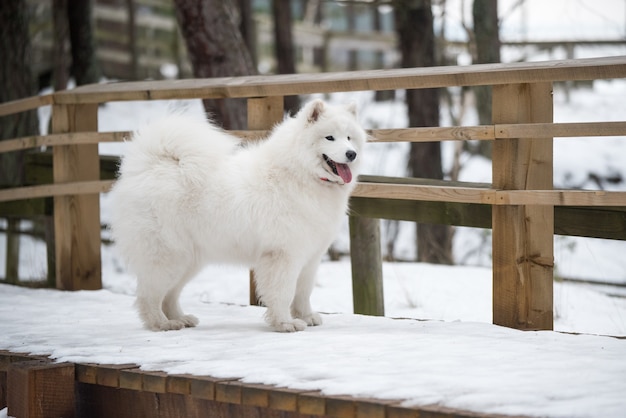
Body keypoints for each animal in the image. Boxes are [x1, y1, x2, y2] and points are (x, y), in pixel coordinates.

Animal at [109, 99, 364, 332]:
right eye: (329, 138)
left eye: (349, 138)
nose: (351, 154)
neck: (301, 174)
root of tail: (150, 166)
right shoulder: (283, 255)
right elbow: (283, 293)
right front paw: (285, 323)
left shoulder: (310, 257)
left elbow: (303, 292)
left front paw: (307, 316)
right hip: (168, 256)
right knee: (150, 296)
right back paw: (161, 323)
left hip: (188, 259)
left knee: (170, 294)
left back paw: (180, 319)